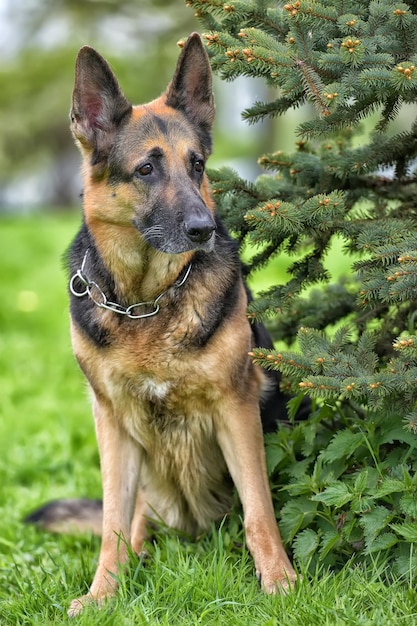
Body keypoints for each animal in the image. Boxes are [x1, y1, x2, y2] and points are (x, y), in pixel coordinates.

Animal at [26, 34, 306, 616]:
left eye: (197, 165)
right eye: (146, 170)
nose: (204, 229)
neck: (148, 302)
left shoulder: (236, 409)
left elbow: (260, 512)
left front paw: (279, 583)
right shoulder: (111, 423)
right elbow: (112, 524)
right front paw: (102, 595)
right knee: (133, 523)